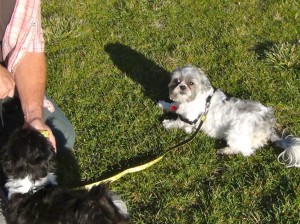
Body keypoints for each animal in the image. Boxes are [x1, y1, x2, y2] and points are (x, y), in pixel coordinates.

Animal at [158, 65, 300, 167]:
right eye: (176, 81)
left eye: (191, 84)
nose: (182, 87)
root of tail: (268, 125)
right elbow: (173, 105)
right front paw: (163, 104)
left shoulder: (190, 121)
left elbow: (178, 121)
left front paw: (167, 123)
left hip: (235, 133)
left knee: (246, 151)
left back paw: (225, 150)